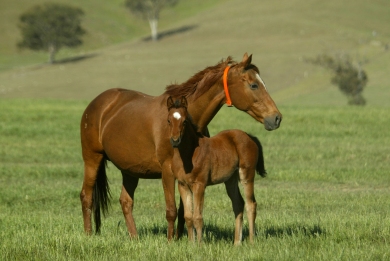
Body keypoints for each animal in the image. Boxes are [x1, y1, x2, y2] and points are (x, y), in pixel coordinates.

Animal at [166, 95, 266, 244]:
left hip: (246, 174)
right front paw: (191, 243)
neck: (189, 155)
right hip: (230, 180)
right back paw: (237, 243)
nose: (175, 140)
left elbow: (197, 217)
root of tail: (249, 136)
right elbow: (188, 216)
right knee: (238, 204)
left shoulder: (200, 185)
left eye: (184, 121)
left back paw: (251, 241)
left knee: (251, 204)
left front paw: (199, 245)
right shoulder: (182, 185)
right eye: (168, 120)